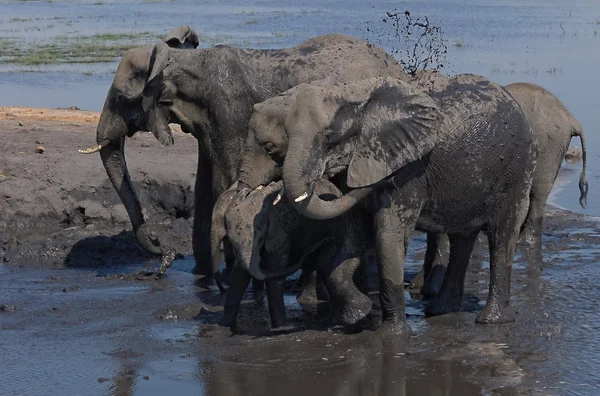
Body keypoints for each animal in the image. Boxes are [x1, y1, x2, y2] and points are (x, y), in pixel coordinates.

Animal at [89, 32, 408, 276]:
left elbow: (224, 183)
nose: (161, 249)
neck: (181, 60)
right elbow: (203, 189)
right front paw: (202, 275)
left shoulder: (229, 111)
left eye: (121, 98)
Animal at [211, 181, 370, 330]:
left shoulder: (280, 233)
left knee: (324, 265)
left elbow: (274, 274)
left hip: (336, 229)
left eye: (260, 239)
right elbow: (239, 275)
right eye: (230, 240)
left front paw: (280, 327)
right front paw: (223, 325)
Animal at [247, 75, 536, 334]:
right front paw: (358, 313)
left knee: (502, 235)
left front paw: (392, 334)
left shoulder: (410, 169)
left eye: (330, 136)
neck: (354, 93)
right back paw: (440, 310)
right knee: (461, 238)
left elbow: (388, 234)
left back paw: (492, 320)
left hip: (517, 168)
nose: (387, 179)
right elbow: (353, 236)